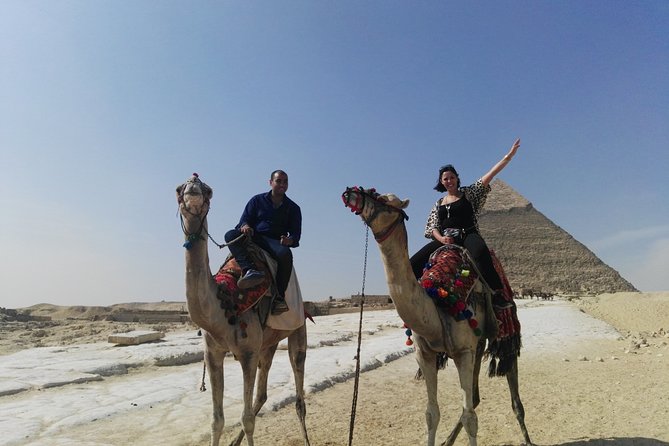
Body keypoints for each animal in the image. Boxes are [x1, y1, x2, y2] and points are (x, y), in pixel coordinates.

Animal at [176, 174, 310, 446]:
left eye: (209, 190)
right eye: (178, 189)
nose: (193, 183)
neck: (227, 301)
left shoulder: (248, 353)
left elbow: (247, 419)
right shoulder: (212, 353)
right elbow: (216, 420)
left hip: (297, 330)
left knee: (299, 394)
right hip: (268, 344)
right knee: (262, 393)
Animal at [342, 186, 532, 446]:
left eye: (383, 198)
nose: (351, 193)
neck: (436, 301)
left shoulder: (463, 351)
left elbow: (470, 418)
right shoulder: (425, 353)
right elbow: (432, 413)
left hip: (503, 334)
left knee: (511, 387)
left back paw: (527, 438)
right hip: (478, 343)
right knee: (475, 396)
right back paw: (448, 441)